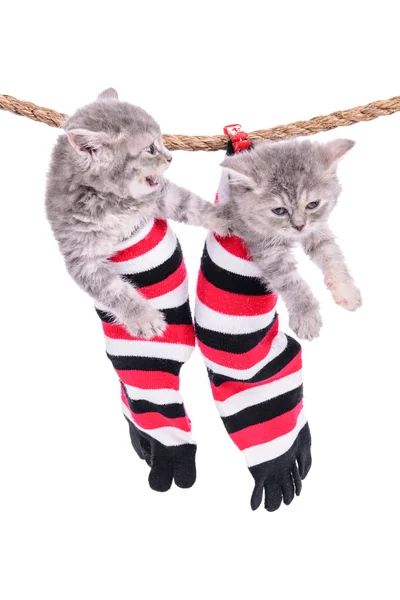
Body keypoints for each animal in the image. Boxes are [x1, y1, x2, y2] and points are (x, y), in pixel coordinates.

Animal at [45, 88, 230, 338]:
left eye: (162, 141)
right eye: (150, 149)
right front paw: (144, 318)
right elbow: (114, 291)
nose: (170, 157)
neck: (114, 201)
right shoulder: (81, 256)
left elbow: (192, 204)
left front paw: (225, 218)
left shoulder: (162, 195)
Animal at [220, 138, 360, 340]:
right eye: (279, 210)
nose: (299, 226)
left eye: (312, 204)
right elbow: (292, 283)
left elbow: (333, 257)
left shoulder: (318, 230)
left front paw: (345, 290)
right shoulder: (267, 250)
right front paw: (306, 316)